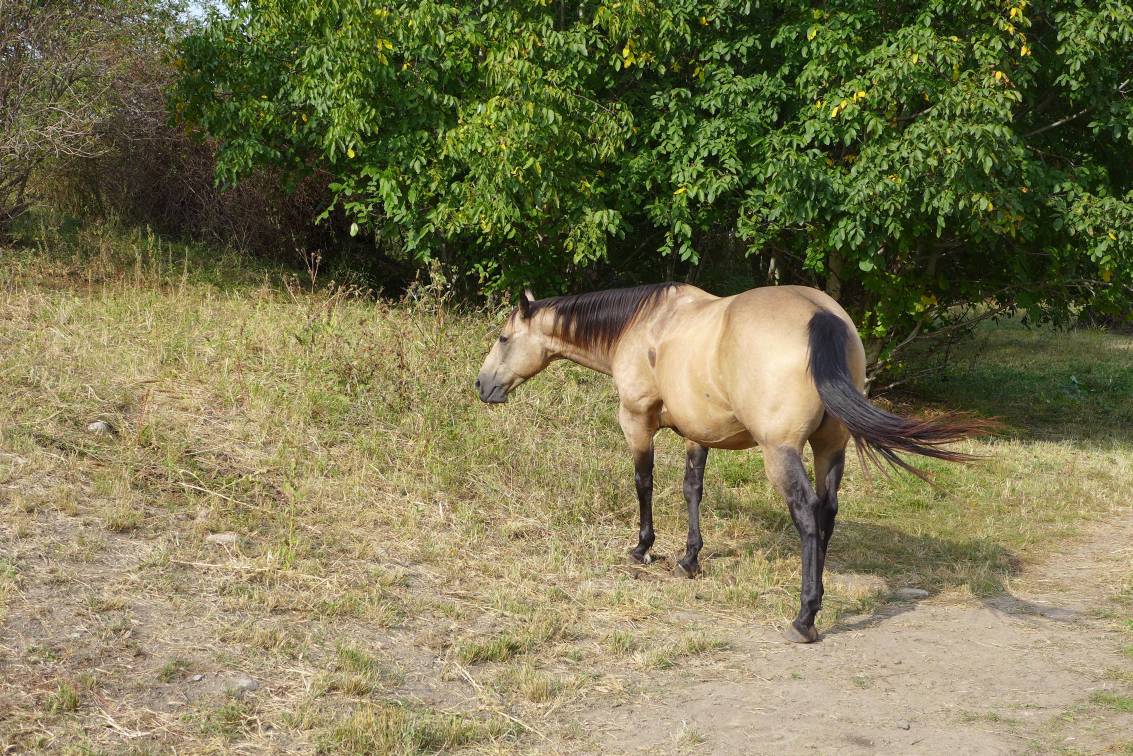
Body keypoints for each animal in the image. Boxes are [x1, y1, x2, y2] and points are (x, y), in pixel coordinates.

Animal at [473, 283, 987, 643]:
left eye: (503, 337)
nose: (482, 385)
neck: (643, 325)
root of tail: (821, 316)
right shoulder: (697, 432)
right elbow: (691, 489)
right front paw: (689, 559)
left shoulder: (636, 421)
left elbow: (644, 482)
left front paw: (643, 548)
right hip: (829, 448)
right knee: (827, 513)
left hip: (780, 452)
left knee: (806, 515)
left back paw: (804, 617)